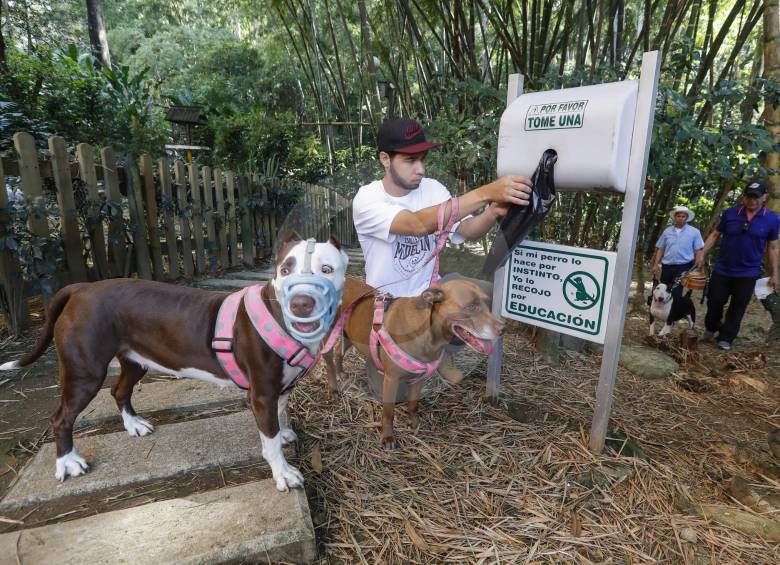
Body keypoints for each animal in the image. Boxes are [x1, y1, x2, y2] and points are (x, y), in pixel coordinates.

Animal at [0, 231, 348, 492]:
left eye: (327, 269)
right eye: (285, 269)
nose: (301, 302)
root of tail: (82, 288)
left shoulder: (282, 387)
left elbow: (280, 416)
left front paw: (285, 431)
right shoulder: (261, 394)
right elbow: (270, 439)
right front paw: (283, 472)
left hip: (134, 360)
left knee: (119, 390)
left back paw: (133, 425)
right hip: (85, 371)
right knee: (61, 418)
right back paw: (68, 462)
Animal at [322, 276, 506, 448]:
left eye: (488, 303)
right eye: (471, 306)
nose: (503, 329)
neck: (427, 330)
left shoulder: (419, 379)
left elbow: (413, 404)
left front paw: (414, 422)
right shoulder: (391, 380)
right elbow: (389, 412)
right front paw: (387, 437)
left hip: (350, 334)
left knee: (338, 350)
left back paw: (341, 373)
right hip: (328, 337)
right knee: (329, 363)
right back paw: (333, 388)